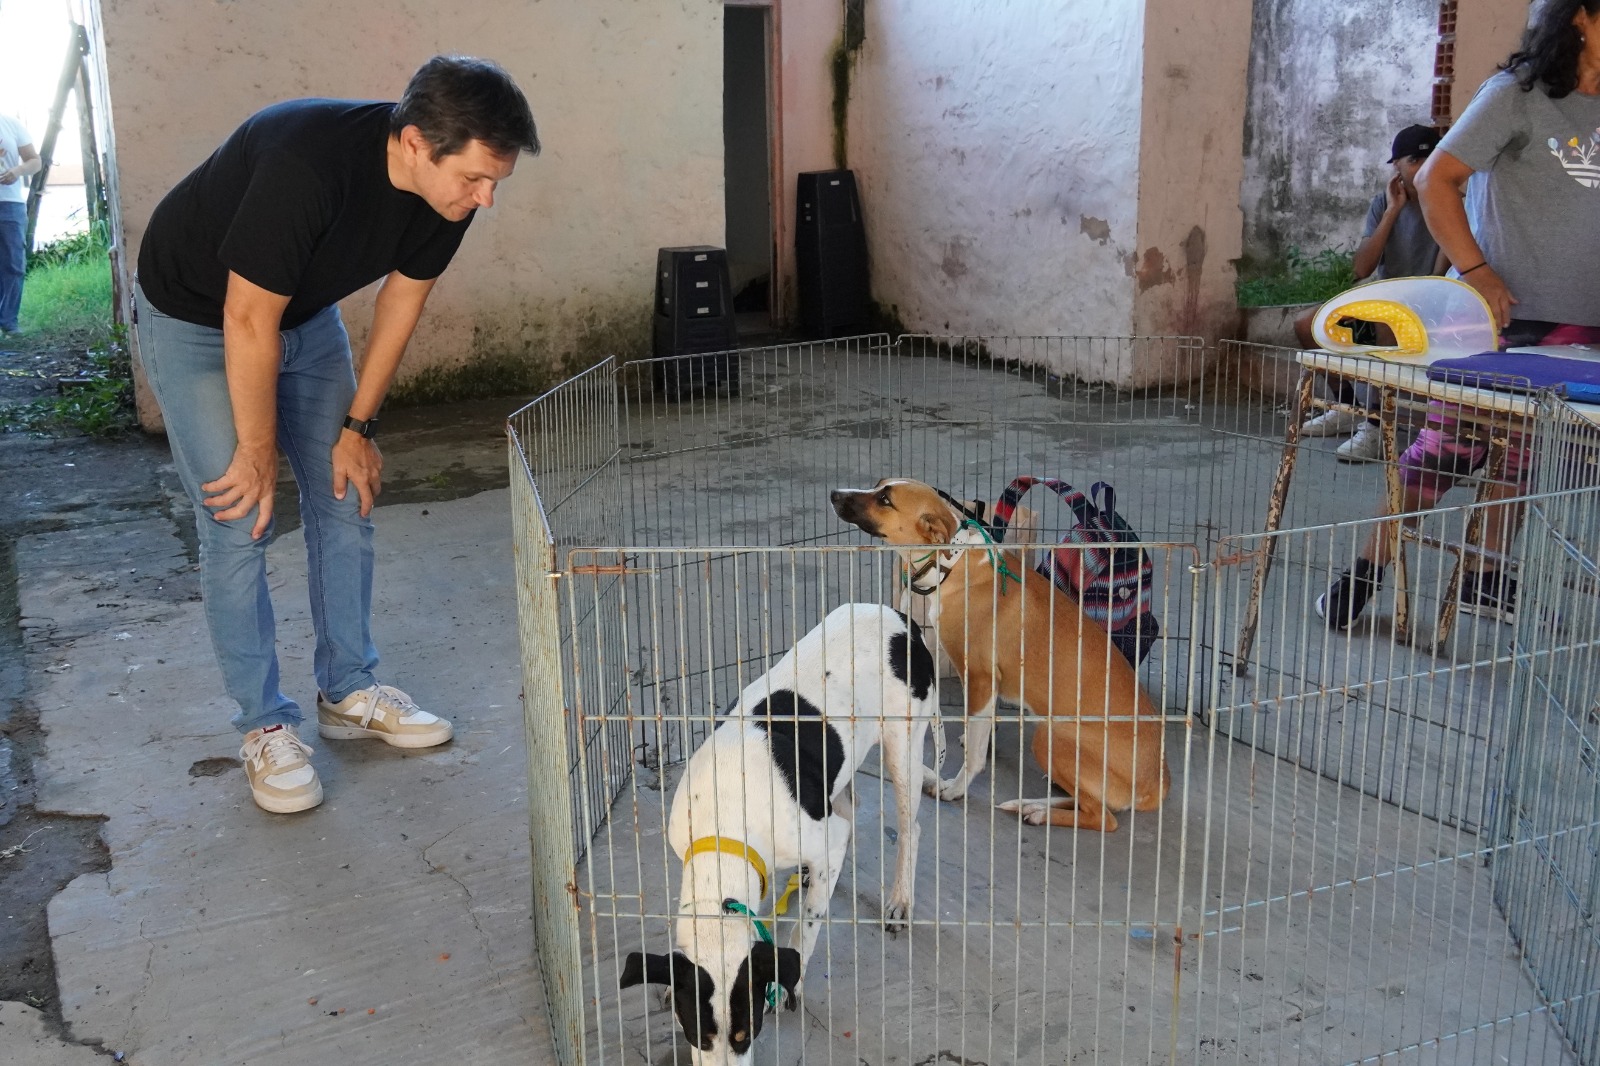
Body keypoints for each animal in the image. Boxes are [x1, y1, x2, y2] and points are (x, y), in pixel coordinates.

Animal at [621, 602, 936, 1064]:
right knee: (849, 810)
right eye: (695, 1035)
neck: (725, 817)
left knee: (909, 827)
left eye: (746, 1033)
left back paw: (900, 901)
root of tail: (897, 615)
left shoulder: (823, 840)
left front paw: (793, 980)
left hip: (904, 747)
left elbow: (806, 928)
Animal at [831, 479, 1169, 832]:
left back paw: (1040, 812)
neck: (952, 561)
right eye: (879, 487)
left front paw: (955, 789)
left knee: (1104, 817)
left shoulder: (979, 677)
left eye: (885, 500)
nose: (834, 495)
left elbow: (976, 754)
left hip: (1051, 735)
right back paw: (1031, 804)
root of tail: (1158, 783)